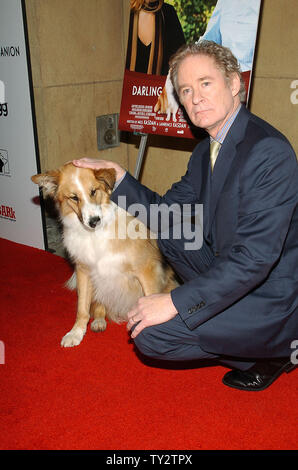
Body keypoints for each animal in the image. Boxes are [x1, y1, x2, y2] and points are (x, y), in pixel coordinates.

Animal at [31, 163, 178, 346]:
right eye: (74, 197)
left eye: (94, 191)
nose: (94, 221)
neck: (96, 233)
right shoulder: (84, 271)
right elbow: (82, 308)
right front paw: (76, 332)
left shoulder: (147, 270)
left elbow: (150, 297)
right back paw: (99, 320)